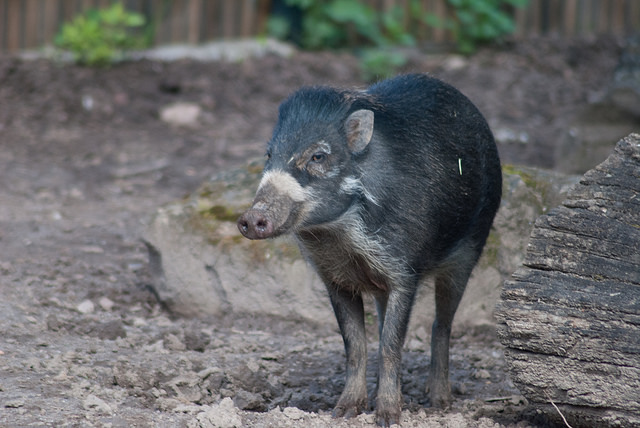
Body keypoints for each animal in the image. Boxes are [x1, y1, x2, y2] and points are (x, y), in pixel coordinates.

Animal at [237, 73, 502, 426]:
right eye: (269, 155)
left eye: (318, 156)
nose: (251, 218)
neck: (340, 236)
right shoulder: (335, 280)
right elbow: (355, 345)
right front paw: (343, 412)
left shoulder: (404, 272)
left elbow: (391, 345)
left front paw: (388, 417)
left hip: (470, 250)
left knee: (442, 325)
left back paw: (439, 402)